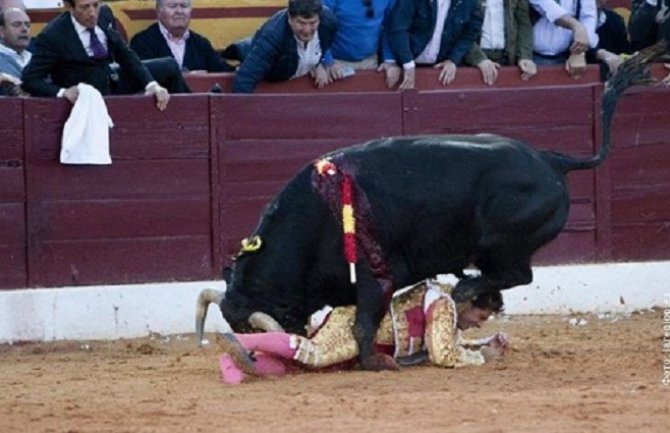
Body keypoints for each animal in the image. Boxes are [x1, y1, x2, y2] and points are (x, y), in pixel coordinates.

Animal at [196, 42, 668, 370]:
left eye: (249, 324)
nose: (256, 355)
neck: (313, 223)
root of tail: (552, 159)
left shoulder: (377, 276)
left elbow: (363, 323)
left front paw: (377, 363)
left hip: (503, 244)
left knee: (518, 274)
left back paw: (465, 287)